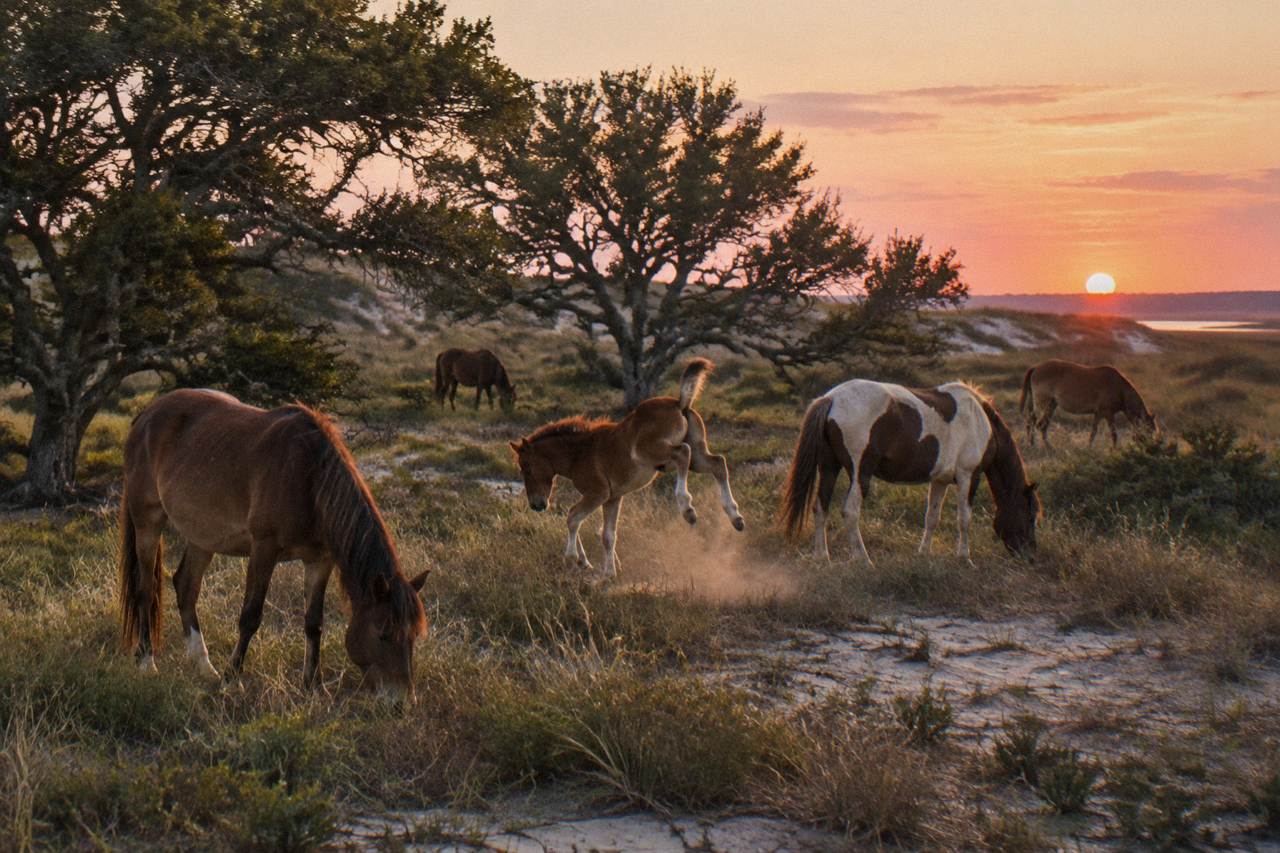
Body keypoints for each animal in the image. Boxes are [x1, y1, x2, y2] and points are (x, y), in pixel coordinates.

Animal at [119, 389, 429, 700]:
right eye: (383, 635)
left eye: (414, 636)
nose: (403, 700)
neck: (309, 479)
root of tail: (146, 414)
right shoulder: (263, 551)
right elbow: (250, 617)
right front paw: (233, 679)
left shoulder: (320, 561)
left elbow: (314, 623)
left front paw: (313, 684)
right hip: (148, 522)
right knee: (145, 589)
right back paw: (147, 661)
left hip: (202, 535)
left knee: (186, 587)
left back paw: (204, 666)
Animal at [509, 358, 744, 578]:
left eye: (526, 467)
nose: (536, 505)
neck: (578, 452)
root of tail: (679, 403)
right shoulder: (613, 497)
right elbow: (607, 534)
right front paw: (609, 572)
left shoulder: (598, 493)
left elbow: (573, 516)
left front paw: (576, 559)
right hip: (698, 456)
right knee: (718, 463)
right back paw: (735, 517)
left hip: (654, 452)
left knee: (683, 454)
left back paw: (687, 508)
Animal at [781, 379, 1039, 565]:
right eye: (1031, 515)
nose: (1030, 557)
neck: (980, 422)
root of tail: (831, 398)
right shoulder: (969, 477)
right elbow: (964, 519)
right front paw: (965, 558)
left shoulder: (940, 481)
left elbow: (932, 518)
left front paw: (923, 554)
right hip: (859, 472)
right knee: (850, 511)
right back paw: (863, 559)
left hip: (829, 467)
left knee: (820, 506)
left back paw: (821, 557)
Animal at [1019, 359, 1157, 449]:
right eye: (1149, 430)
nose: (1149, 448)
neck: (1119, 388)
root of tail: (1036, 367)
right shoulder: (1108, 414)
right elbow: (1114, 434)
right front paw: (1115, 450)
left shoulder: (1098, 414)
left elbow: (1093, 432)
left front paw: (1089, 448)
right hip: (1044, 404)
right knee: (1038, 423)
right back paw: (1045, 446)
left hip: (1051, 405)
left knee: (1035, 422)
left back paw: (1033, 444)